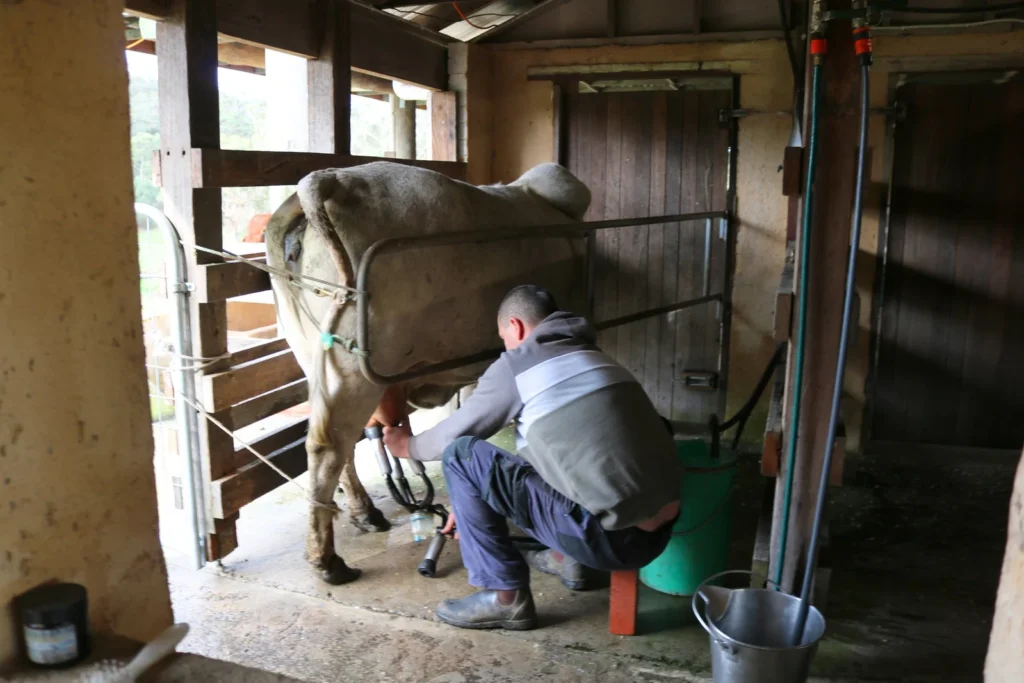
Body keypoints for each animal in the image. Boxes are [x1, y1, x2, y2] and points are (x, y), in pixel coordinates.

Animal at [264, 162, 591, 584]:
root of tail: (330, 177)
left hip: (316, 358)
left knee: (337, 443)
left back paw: (364, 513)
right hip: (354, 370)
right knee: (329, 448)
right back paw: (327, 560)